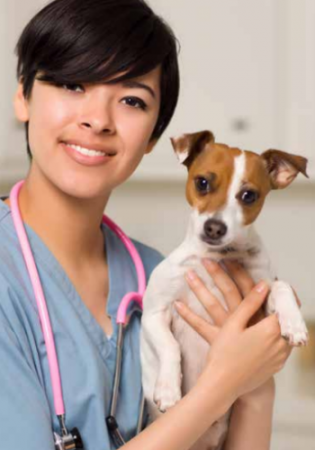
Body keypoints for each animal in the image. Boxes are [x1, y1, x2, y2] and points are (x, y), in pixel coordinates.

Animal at [141, 130, 308, 450]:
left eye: (249, 196)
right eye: (202, 182)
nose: (214, 228)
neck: (217, 258)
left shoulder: (261, 290)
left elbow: (280, 286)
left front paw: (294, 323)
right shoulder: (154, 314)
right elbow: (170, 345)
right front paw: (168, 390)